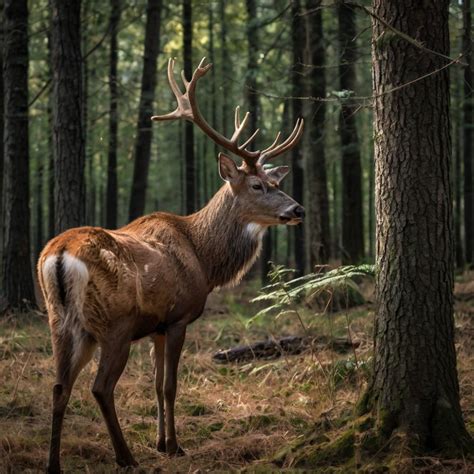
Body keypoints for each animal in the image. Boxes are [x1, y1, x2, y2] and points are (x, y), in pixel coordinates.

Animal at [37, 57, 304, 472]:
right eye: (257, 185)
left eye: (275, 182)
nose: (297, 209)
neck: (205, 259)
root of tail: (60, 253)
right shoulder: (178, 317)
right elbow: (169, 385)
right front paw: (175, 446)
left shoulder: (157, 328)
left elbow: (156, 385)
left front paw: (161, 442)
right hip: (114, 325)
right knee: (100, 387)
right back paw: (125, 457)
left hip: (63, 324)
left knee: (58, 386)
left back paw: (54, 463)